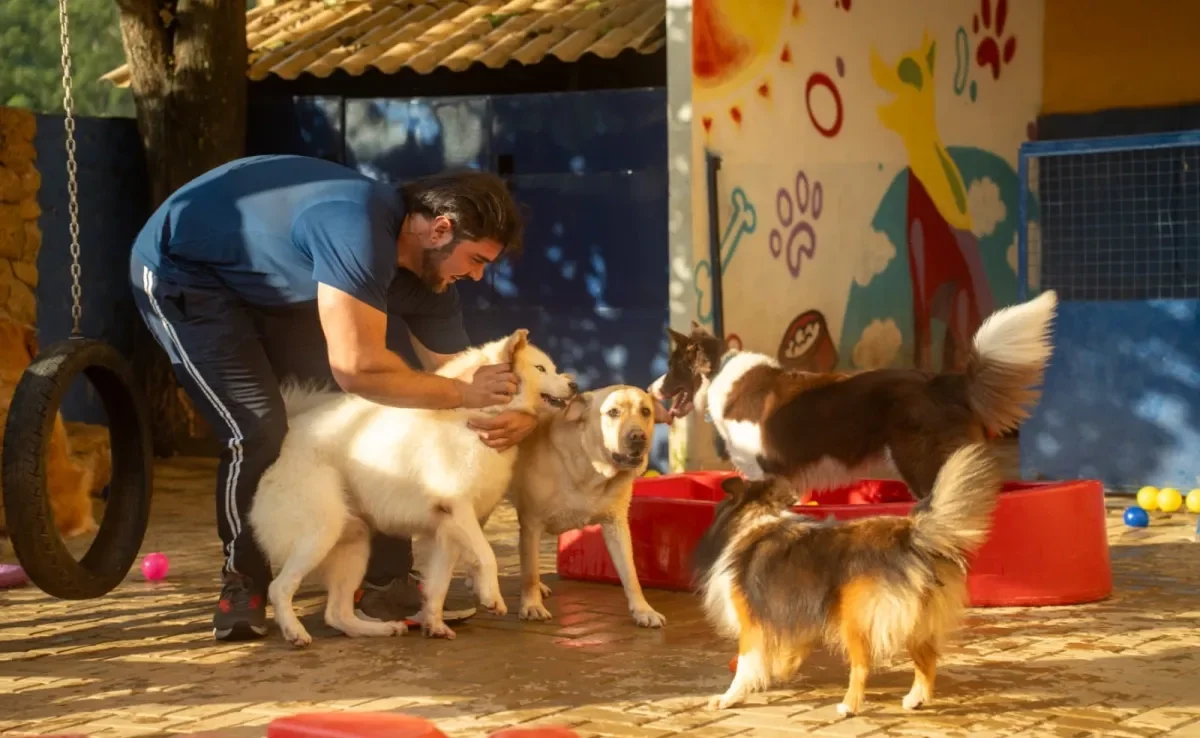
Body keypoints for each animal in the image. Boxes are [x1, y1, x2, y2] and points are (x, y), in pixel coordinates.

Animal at [248, 328, 576, 648]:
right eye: (540, 368)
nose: (573, 384)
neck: (476, 416)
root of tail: (287, 442)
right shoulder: (459, 510)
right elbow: (487, 556)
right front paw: (491, 597)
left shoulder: (449, 529)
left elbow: (438, 586)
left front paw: (434, 625)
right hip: (320, 534)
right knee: (279, 588)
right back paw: (295, 632)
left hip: (354, 545)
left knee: (337, 613)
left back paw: (382, 628)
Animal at [506, 386, 667, 628]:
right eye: (612, 412)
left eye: (646, 411)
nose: (639, 437)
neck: (592, 469)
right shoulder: (531, 524)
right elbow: (531, 571)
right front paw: (531, 605)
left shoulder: (617, 526)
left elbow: (630, 574)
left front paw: (643, 610)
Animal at [652, 290, 1056, 501]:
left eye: (672, 366)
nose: (653, 389)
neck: (718, 372)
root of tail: (941, 381)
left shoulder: (762, 470)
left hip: (923, 463)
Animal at [696, 444, 1003, 715]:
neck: (758, 515)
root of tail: (910, 536)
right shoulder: (798, 615)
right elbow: (792, 652)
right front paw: (781, 670)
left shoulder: (752, 623)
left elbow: (746, 666)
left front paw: (728, 698)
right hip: (914, 619)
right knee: (927, 660)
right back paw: (915, 700)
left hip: (857, 619)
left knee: (862, 666)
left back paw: (849, 707)